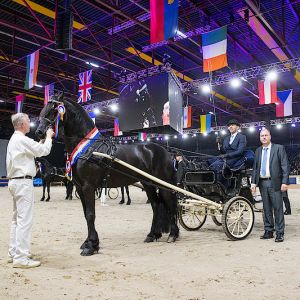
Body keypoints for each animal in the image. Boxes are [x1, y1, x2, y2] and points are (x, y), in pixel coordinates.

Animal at [36, 94, 179, 255]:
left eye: (54, 111)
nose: (39, 132)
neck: (89, 148)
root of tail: (165, 151)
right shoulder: (79, 187)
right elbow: (86, 214)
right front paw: (89, 242)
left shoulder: (88, 187)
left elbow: (91, 214)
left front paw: (91, 246)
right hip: (148, 183)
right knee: (156, 205)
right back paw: (152, 235)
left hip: (163, 184)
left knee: (171, 204)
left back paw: (173, 235)